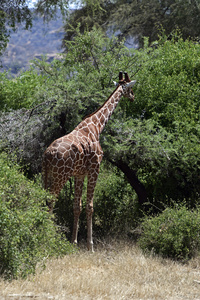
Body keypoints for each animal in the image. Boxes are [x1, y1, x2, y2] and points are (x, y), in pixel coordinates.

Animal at [42, 72, 136, 251]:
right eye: (130, 87)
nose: (133, 97)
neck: (97, 127)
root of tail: (48, 154)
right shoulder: (95, 169)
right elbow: (90, 206)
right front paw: (90, 246)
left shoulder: (79, 174)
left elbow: (76, 206)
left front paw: (74, 242)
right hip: (60, 176)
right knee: (51, 200)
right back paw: (48, 238)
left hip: (46, 174)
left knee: (43, 199)